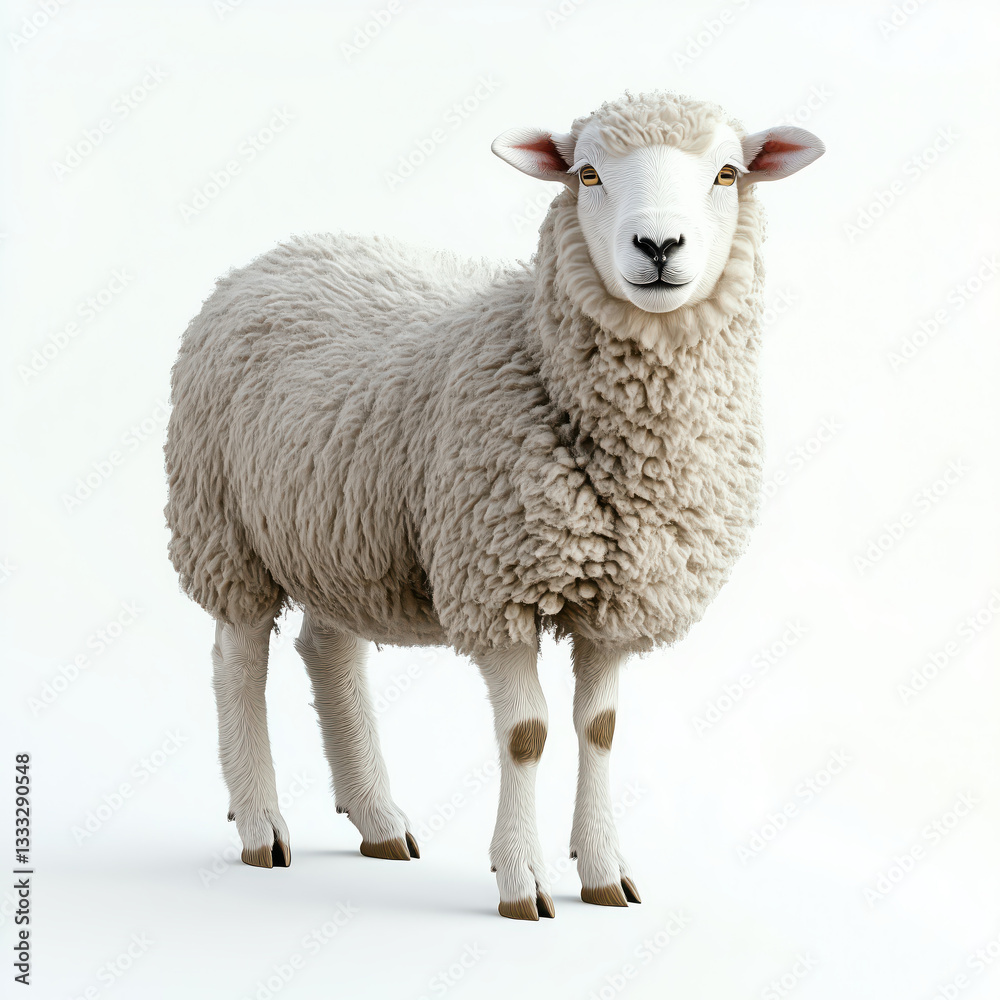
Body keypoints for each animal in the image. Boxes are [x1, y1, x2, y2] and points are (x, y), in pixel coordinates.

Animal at [164, 91, 824, 920]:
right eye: (587, 172)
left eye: (728, 173)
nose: (657, 244)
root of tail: (274, 254)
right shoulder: (498, 582)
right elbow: (527, 736)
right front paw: (522, 880)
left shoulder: (619, 599)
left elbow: (600, 729)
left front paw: (603, 872)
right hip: (223, 524)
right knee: (237, 660)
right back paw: (260, 824)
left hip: (338, 528)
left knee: (328, 650)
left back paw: (377, 818)